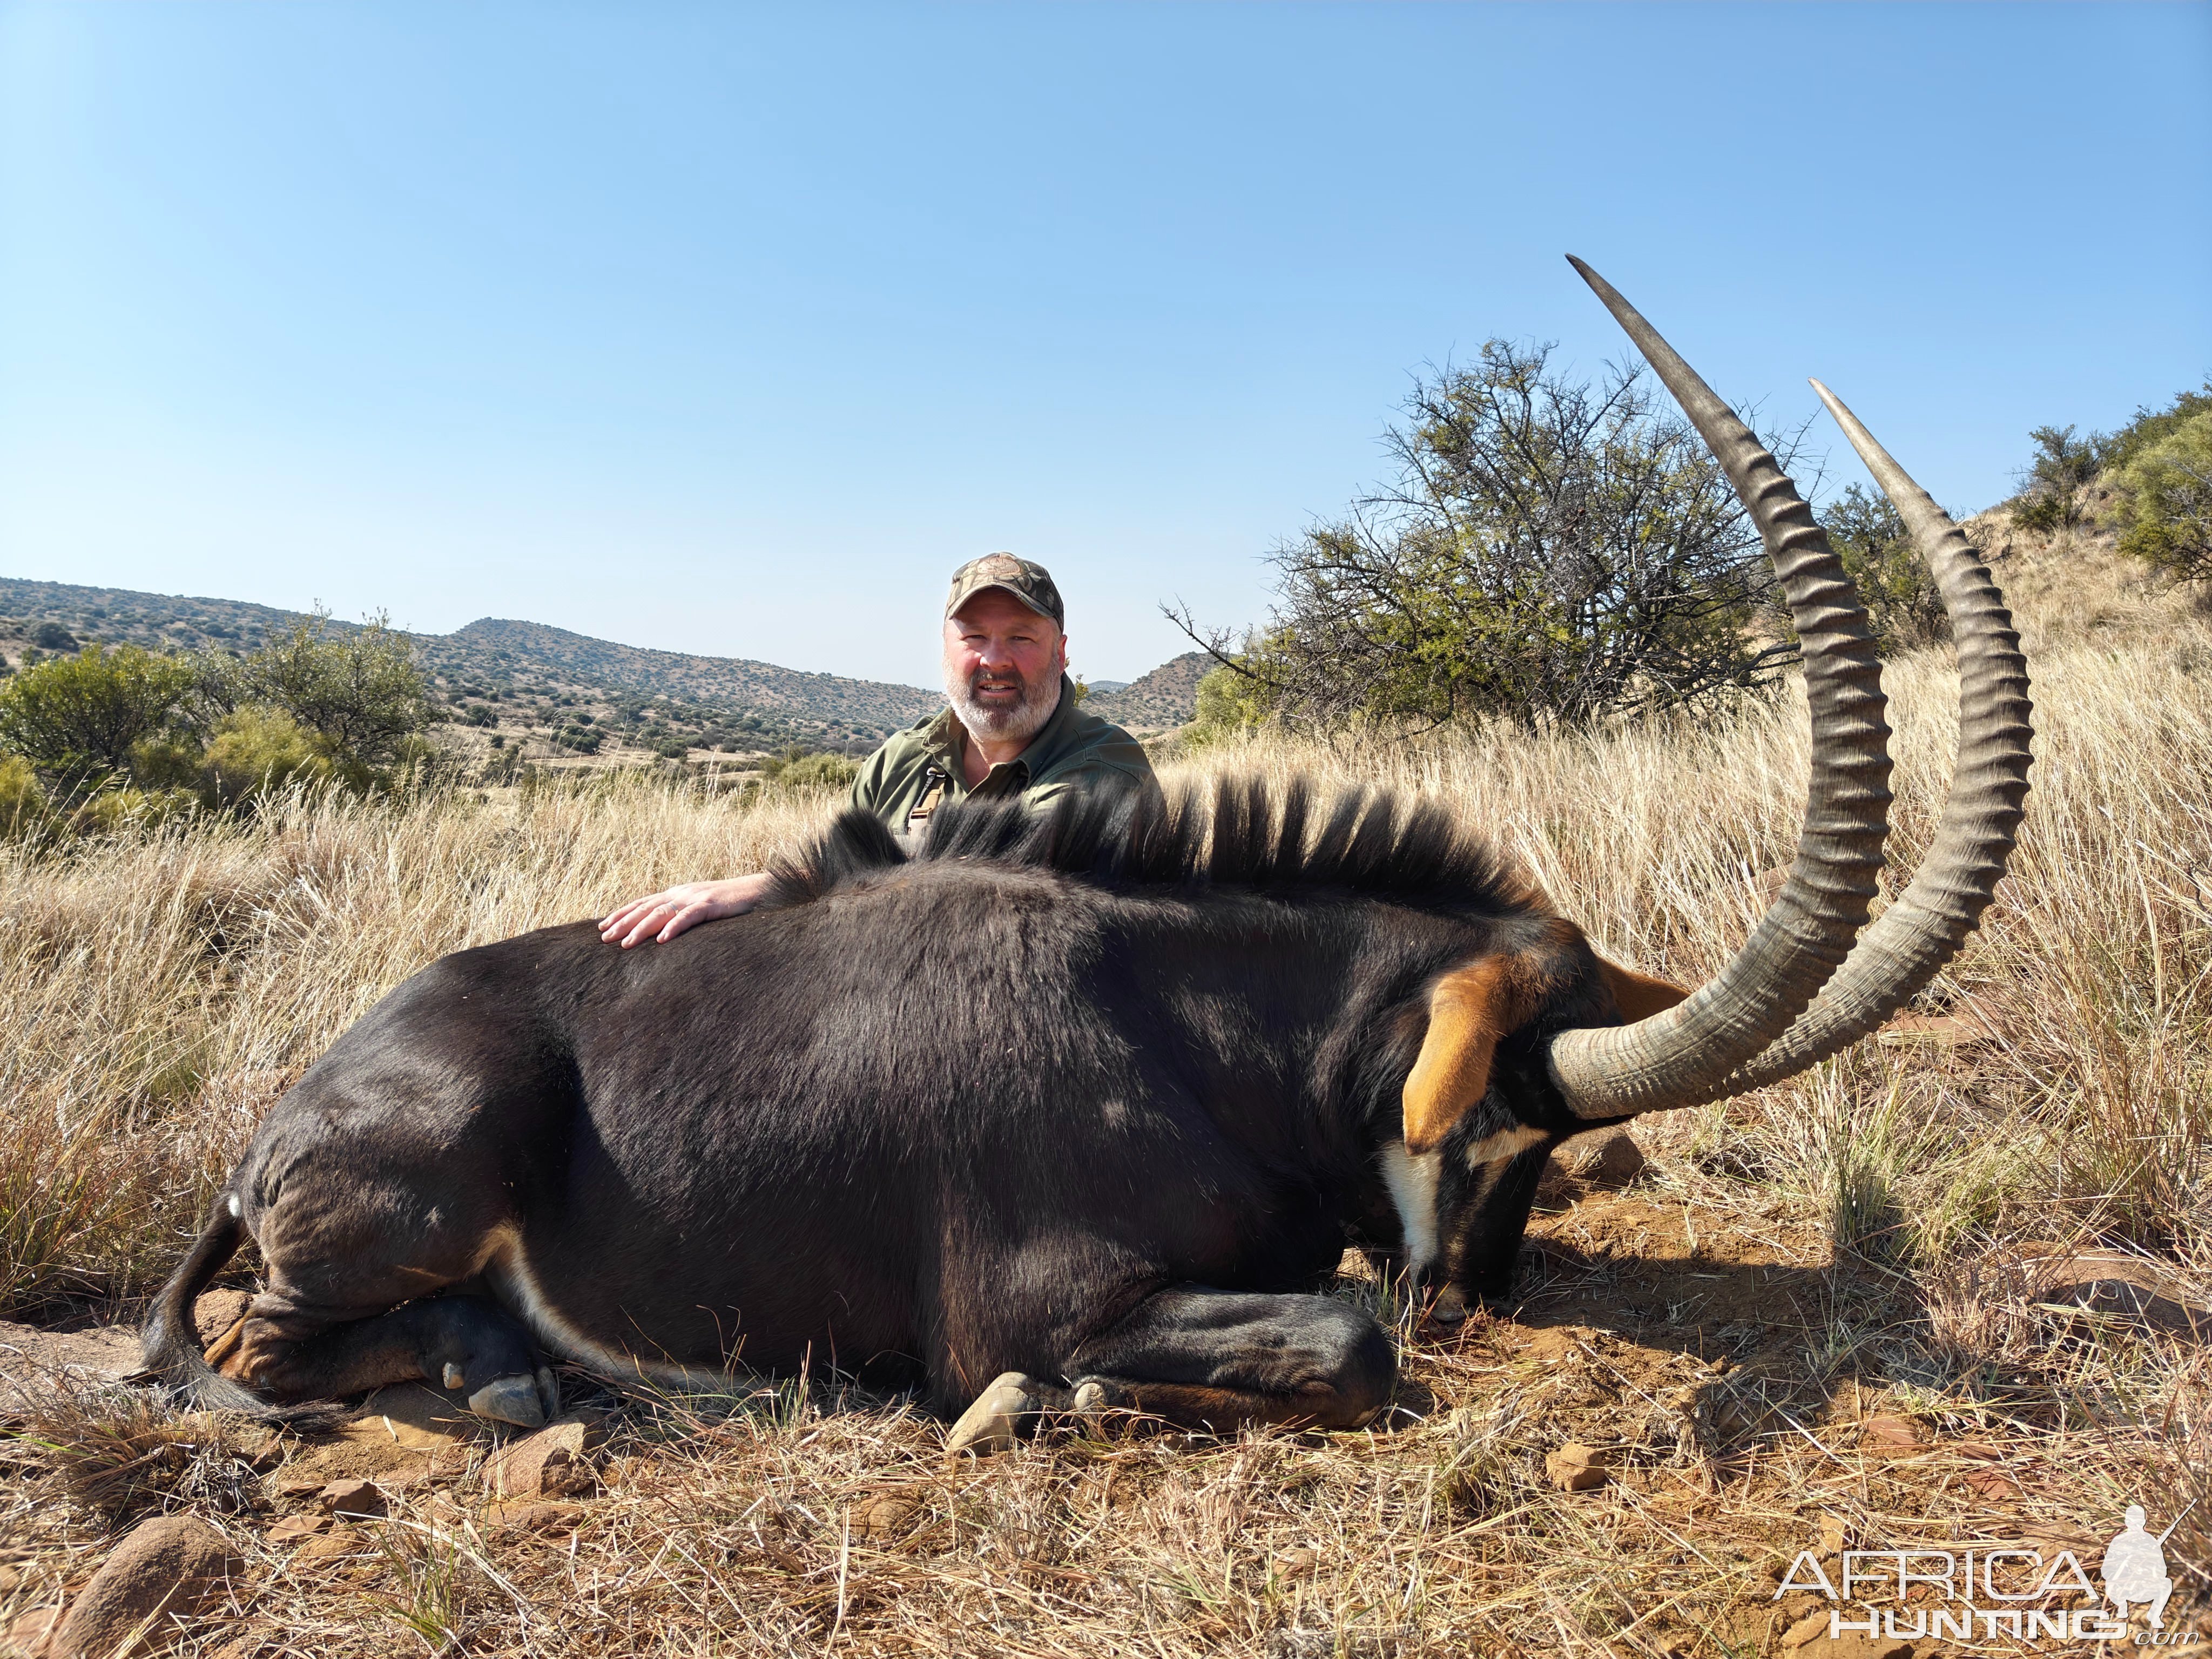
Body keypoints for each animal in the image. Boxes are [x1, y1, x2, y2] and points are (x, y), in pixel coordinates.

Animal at [147, 263, 2026, 1451]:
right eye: (1493, 1130)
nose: (1478, 1301)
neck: (1191, 1023)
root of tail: (281, 1123)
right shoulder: (1042, 1298)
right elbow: (1338, 1332)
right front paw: (1077, 1403)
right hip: (427, 1173)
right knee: (274, 1345)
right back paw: (502, 1378)